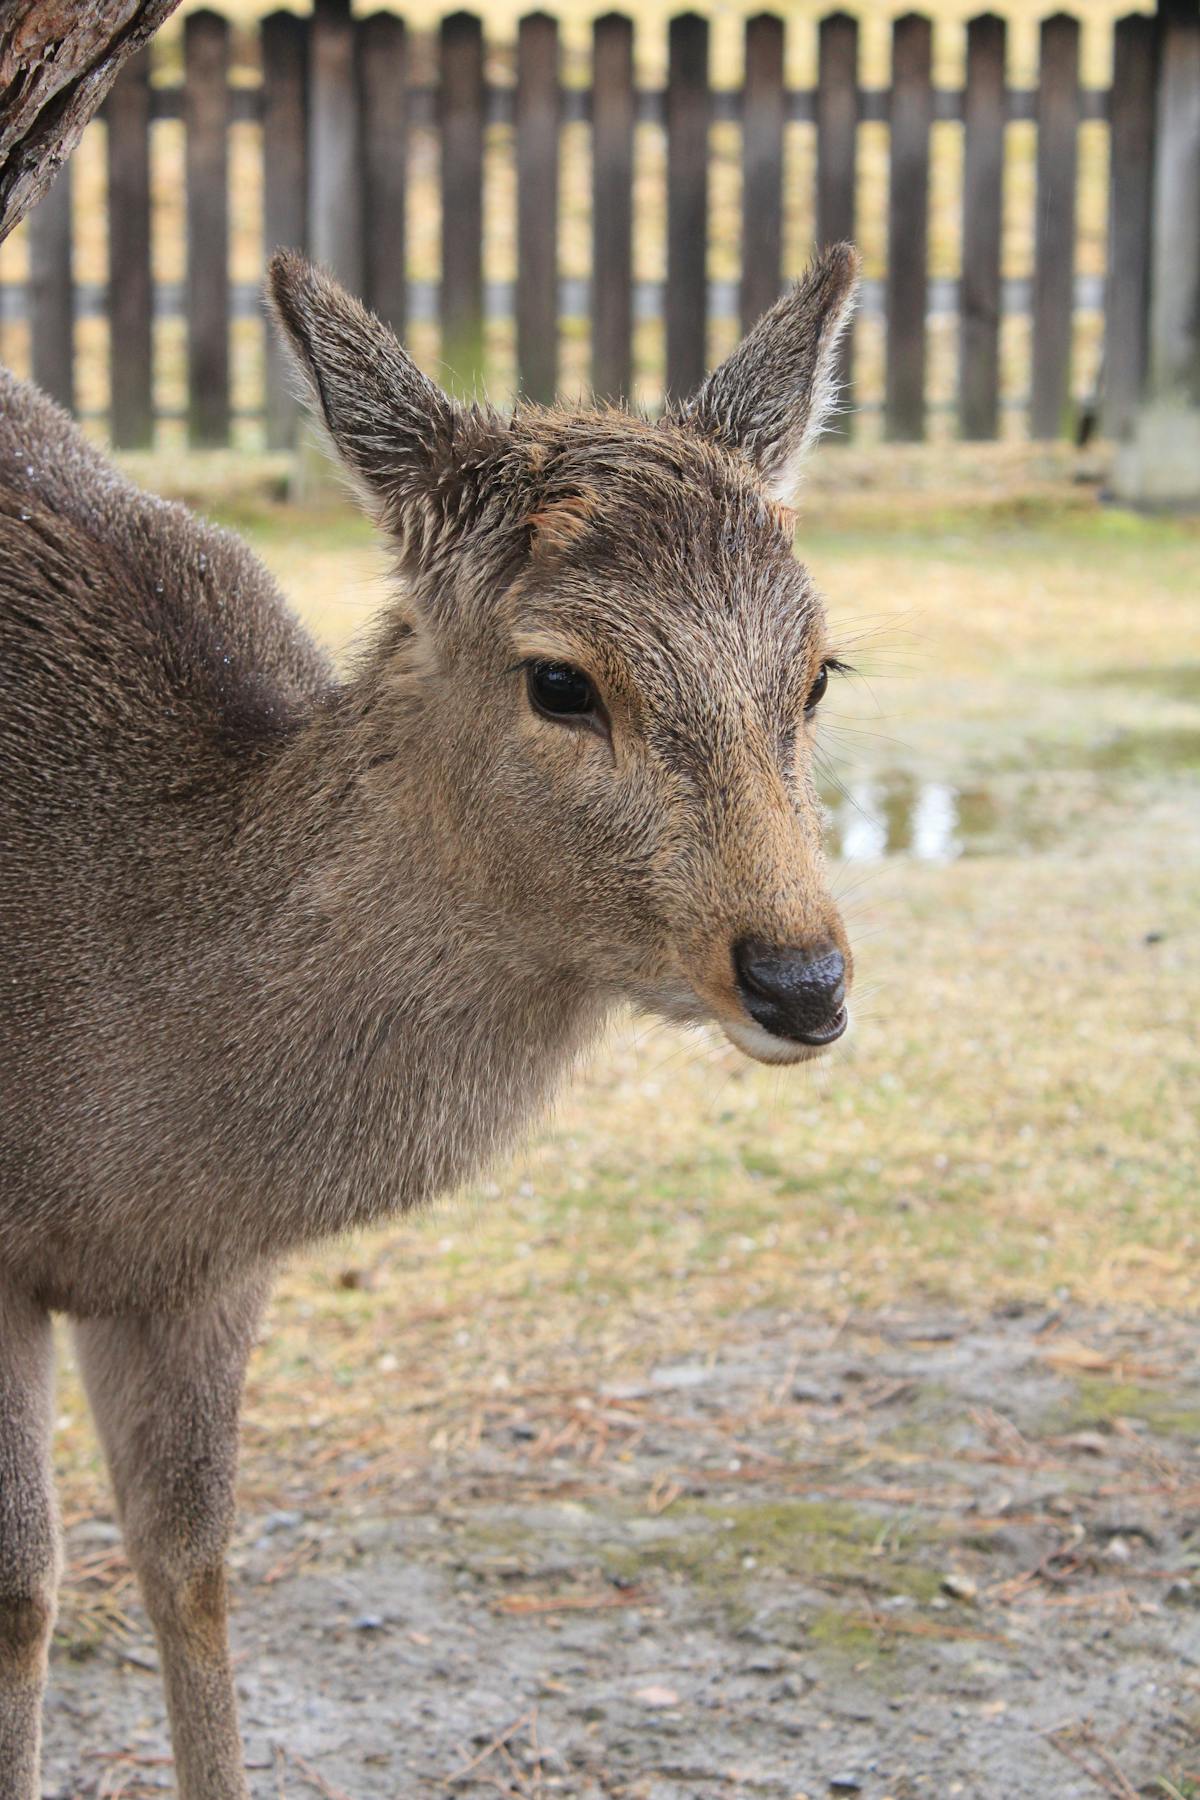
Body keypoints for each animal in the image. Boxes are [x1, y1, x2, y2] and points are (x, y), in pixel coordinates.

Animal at [0, 241, 859, 1798]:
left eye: (818, 669)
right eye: (561, 678)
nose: (801, 979)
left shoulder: (203, 1274)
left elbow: (191, 1567)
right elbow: (24, 1592)